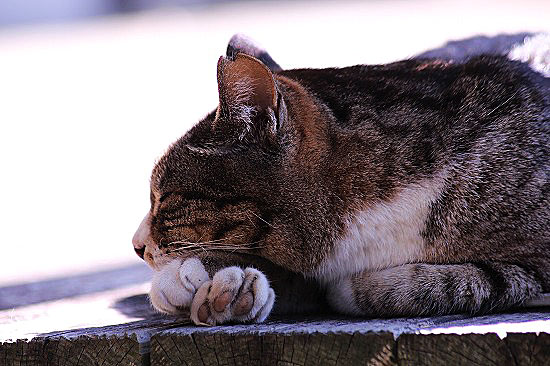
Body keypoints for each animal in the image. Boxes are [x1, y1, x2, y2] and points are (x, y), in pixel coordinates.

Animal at [134, 35, 550, 326]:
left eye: (165, 197)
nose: (136, 247)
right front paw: (208, 281)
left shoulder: (536, 268)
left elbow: (480, 280)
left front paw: (359, 286)